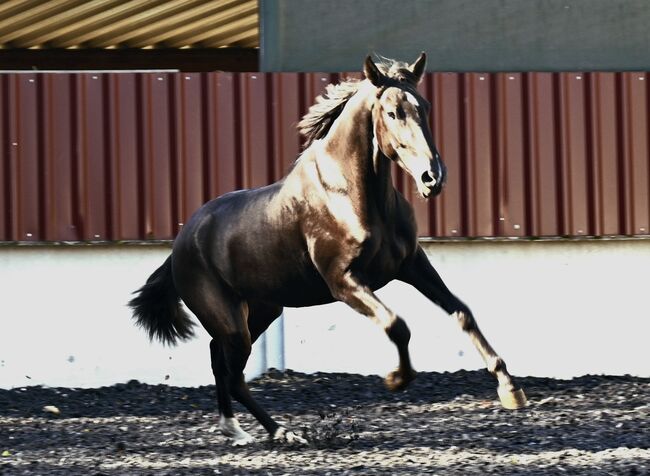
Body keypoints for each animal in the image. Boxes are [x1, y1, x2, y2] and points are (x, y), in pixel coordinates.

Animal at [128, 53, 528, 446]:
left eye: (425, 107)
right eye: (393, 112)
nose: (433, 177)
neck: (351, 195)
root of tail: (182, 241)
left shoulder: (412, 265)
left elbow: (461, 312)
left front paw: (509, 389)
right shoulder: (343, 280)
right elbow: (396, 325)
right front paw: (397, 379)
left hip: (261, 310)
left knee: (218, 356)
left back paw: (240, 429)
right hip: (228, 317)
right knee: (234, 372)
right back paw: (279, 432)